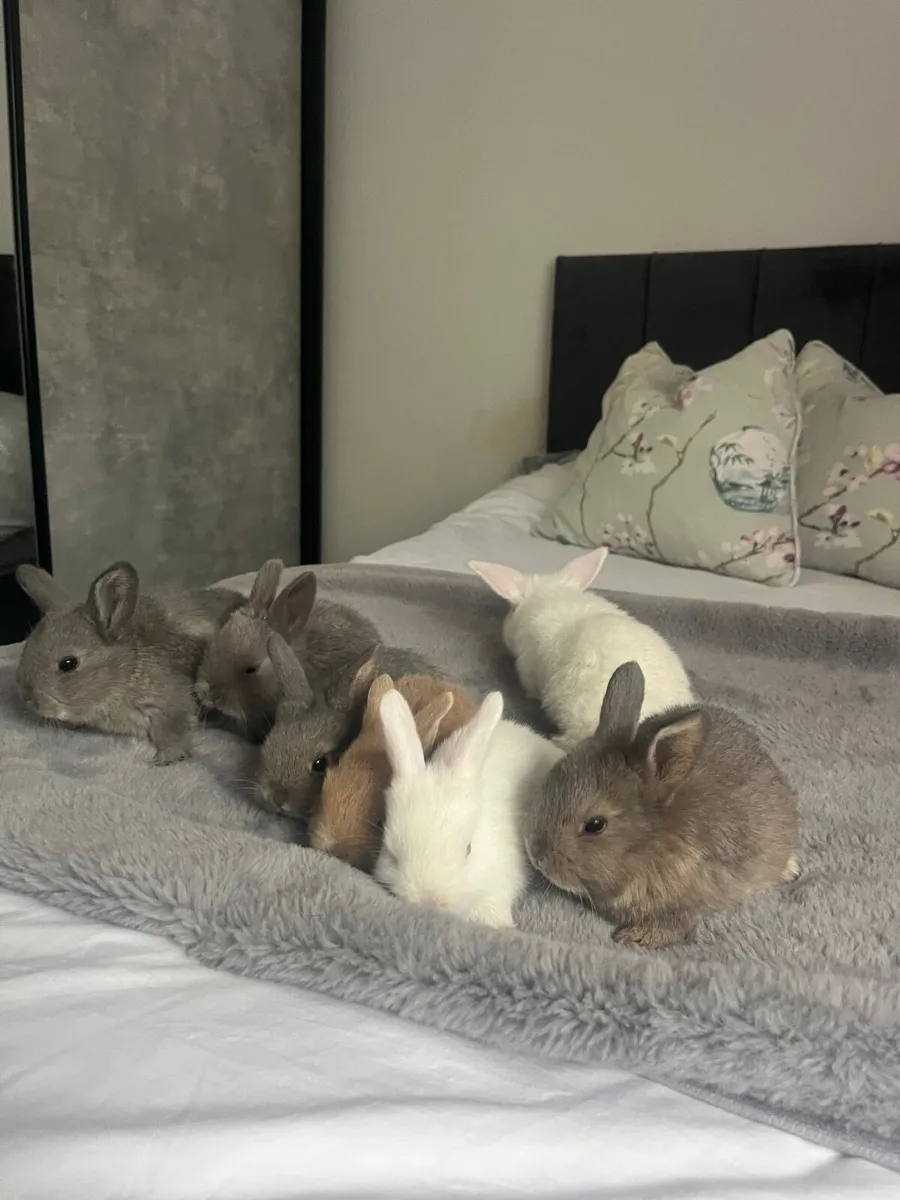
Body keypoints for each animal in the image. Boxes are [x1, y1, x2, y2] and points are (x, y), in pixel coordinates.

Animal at [15, 561, 245, 765]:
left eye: (68, 663)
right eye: (26, 647)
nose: (28, 697)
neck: (124, 671)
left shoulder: (171, 703)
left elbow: (174, 729)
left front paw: (168, 757)